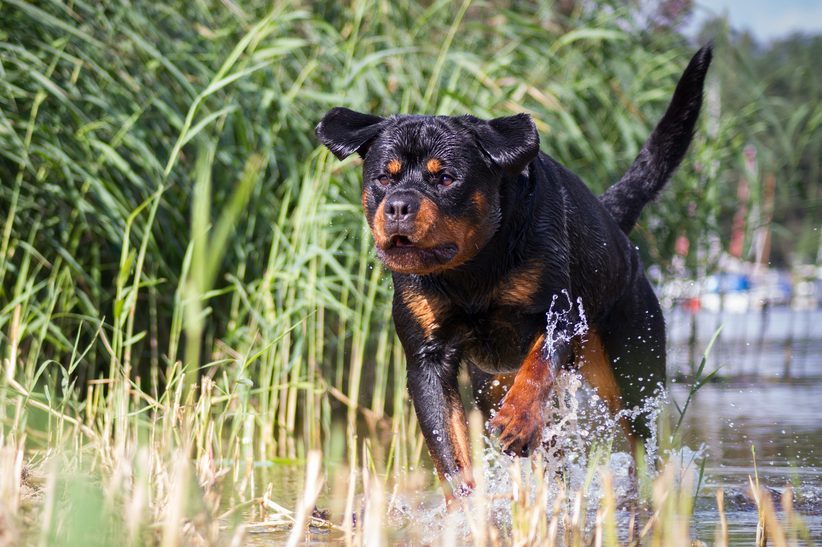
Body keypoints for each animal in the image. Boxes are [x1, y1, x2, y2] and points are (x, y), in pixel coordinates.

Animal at [316, 46, 716, 500]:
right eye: (384, 177)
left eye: (446, 178)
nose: (399, 205)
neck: (473, 267)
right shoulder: (426, 357)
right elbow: (447, 447)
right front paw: (467, 506)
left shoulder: (558, 313)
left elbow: (538, 367)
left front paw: (517, 420)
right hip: (490, 381)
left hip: (632, 368)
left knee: (639, 443)